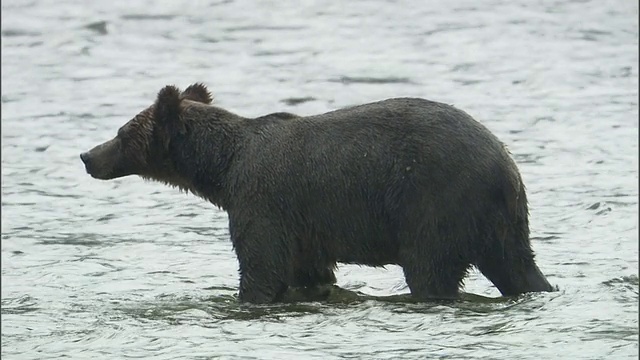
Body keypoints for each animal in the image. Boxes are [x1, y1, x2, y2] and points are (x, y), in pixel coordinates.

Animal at [81, 83, 556, 304]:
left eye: (120, 133)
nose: (87, 155)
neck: (223, 167)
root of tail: (503, 164)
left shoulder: (263, 200)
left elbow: (262, 265)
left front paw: (249, 295)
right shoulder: (303, 225)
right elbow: (308, 270)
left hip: (434, 201)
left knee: (430, 269)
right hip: (500, 218)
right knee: (517, 265)